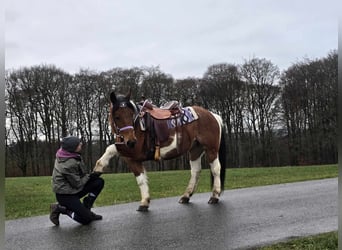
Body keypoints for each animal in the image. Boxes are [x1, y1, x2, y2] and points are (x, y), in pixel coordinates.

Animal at [93, 90, 227, 211]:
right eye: (117, 116)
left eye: (131, 115)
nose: (131, 141)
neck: (138, 126)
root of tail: (213, 115)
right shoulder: (132, 158)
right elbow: (141, 180)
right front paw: (145, 202)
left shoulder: (133, 152)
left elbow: (111, 148)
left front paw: (97, 169)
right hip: (195, 150)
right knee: (195, 171)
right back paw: (186, 196)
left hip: (211, 149)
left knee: (215, 169)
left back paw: (215, 196)